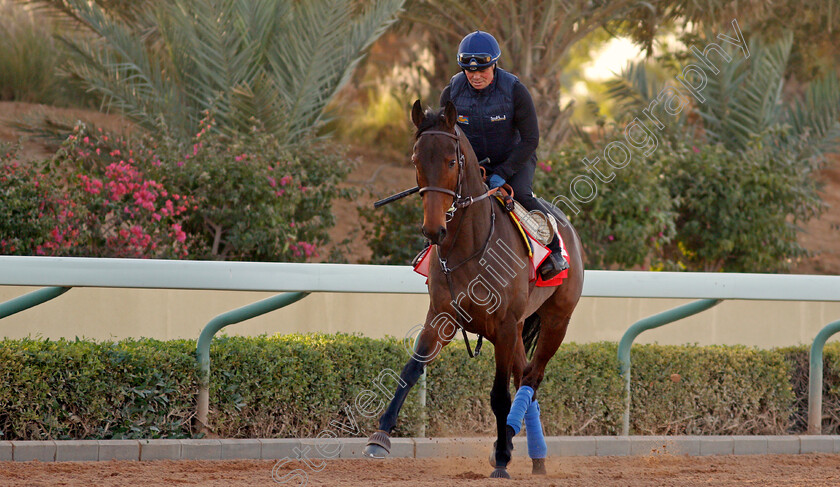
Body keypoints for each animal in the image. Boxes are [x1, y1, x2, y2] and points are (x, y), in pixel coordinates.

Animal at [364, 101, 588, 478]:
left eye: (451, 162)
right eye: (415, 160)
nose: (433, 229)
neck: (468, 246)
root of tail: (569, 229)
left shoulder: (505, 325)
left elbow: (499, 395)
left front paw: (501, 457)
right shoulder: (441, 316)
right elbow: (410, 370)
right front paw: (380, 436)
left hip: (557, 320)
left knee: (532, 377)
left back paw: (511, 444)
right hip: (517, 330)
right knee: (524, 376)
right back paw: (533, 455)